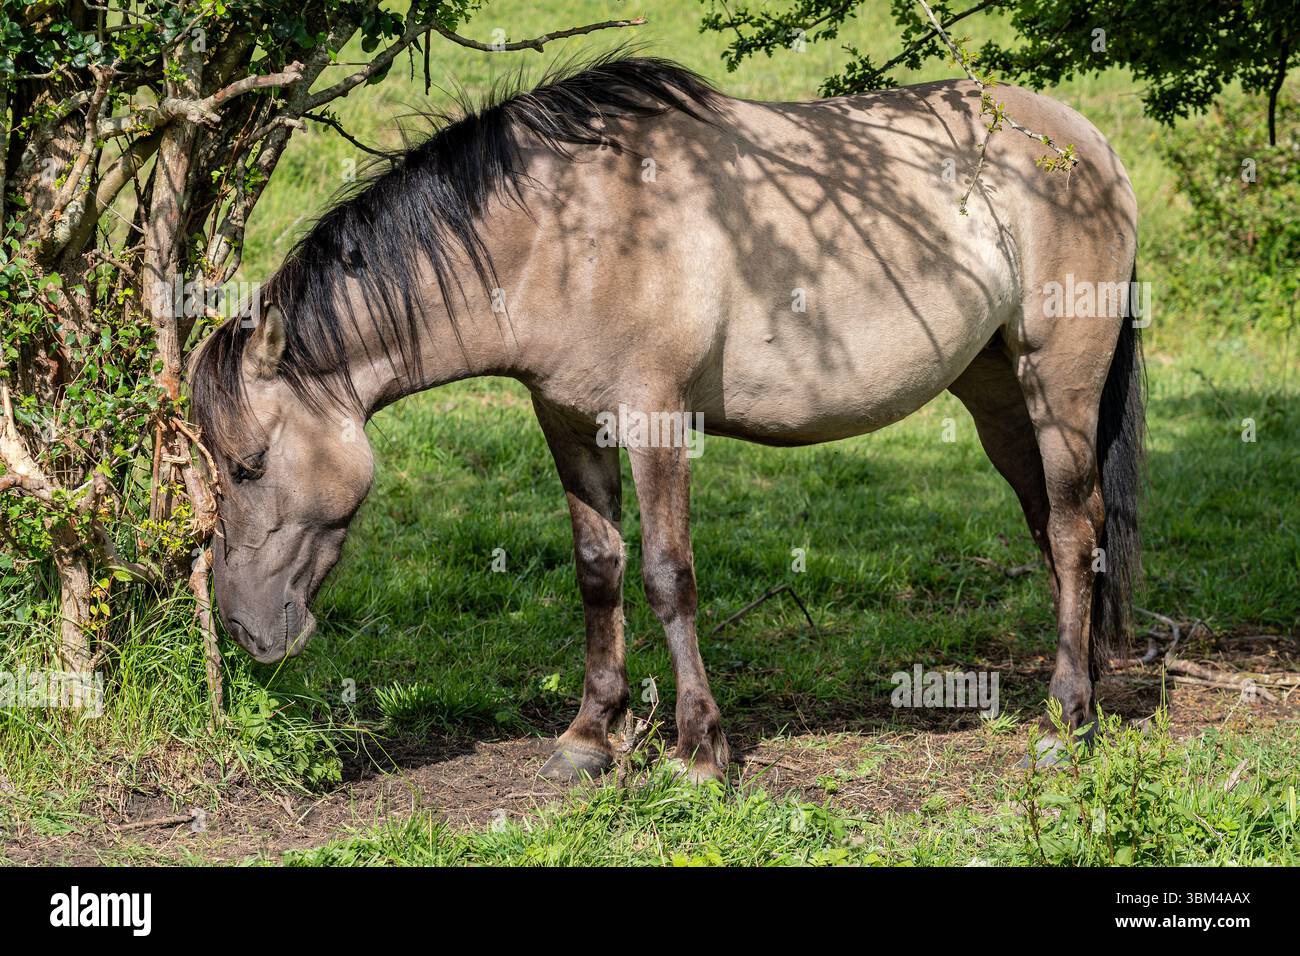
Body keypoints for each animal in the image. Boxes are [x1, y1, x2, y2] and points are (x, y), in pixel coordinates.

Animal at [190, 55, 1143, 783]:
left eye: (248, 463)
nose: (244, 628)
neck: (565, 231)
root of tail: (1088, 141)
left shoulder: (653, 418)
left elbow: (665, 575)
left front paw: (697, 752)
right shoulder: (569, 422)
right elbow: (598, 570)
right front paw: (588, 738)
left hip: (1059, 380)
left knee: (1071, 530)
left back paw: (1065, 722)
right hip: (997, 395)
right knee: (1060, 527)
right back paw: (1086, 692)